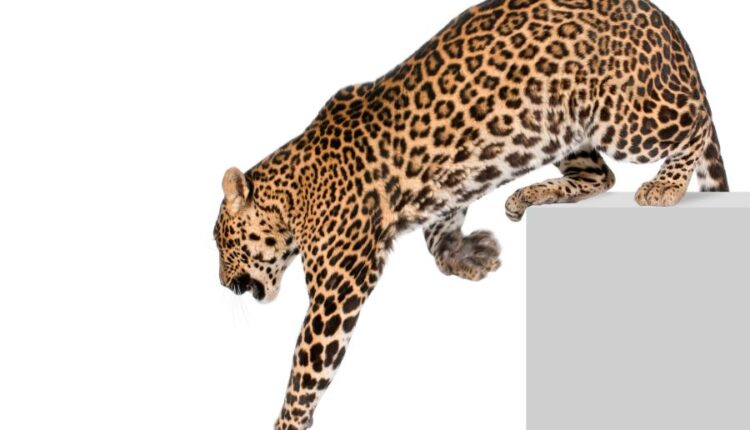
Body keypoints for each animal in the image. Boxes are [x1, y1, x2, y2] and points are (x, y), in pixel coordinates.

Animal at [213, 0, 729, 428]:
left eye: (221, 244)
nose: (221, 282)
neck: (292, 194)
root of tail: (666, 23)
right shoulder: (443, 188)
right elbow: (438, 231)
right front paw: (470, 257)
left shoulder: (338, 287)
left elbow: (307, 365)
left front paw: (288, 422)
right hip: (567, 127)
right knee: (600, 175)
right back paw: (527, 197)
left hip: (625, 117)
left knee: (696, 123)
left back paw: (665, 185)